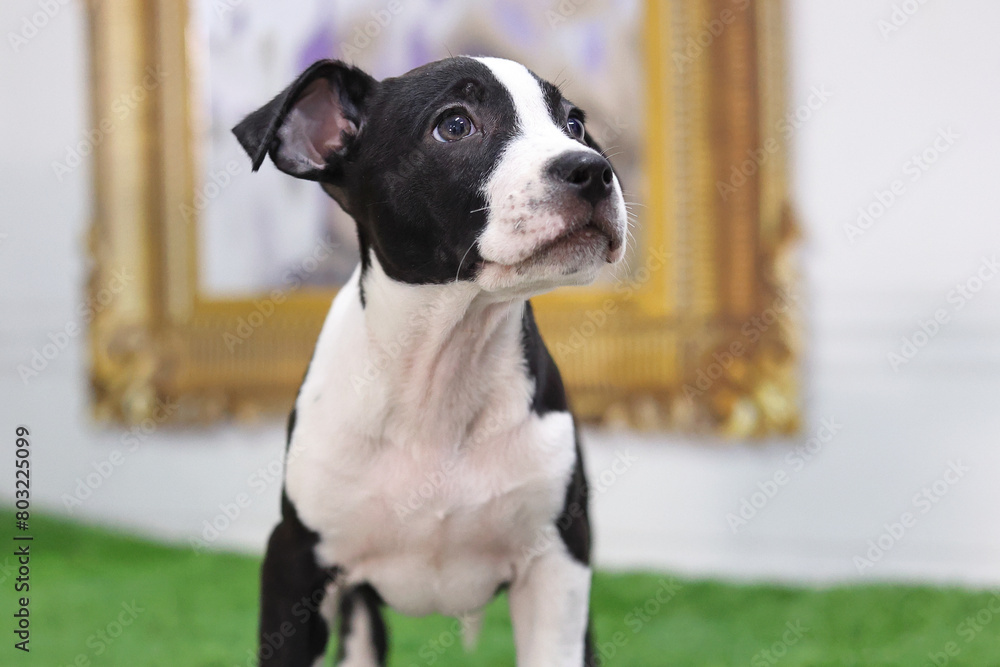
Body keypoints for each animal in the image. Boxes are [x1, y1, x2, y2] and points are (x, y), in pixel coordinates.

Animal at [232, 54, 624, 664]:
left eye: (575, 124)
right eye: (455, 125)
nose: (593, 169)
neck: (444, 364)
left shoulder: (558, 561)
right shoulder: (293, 564)